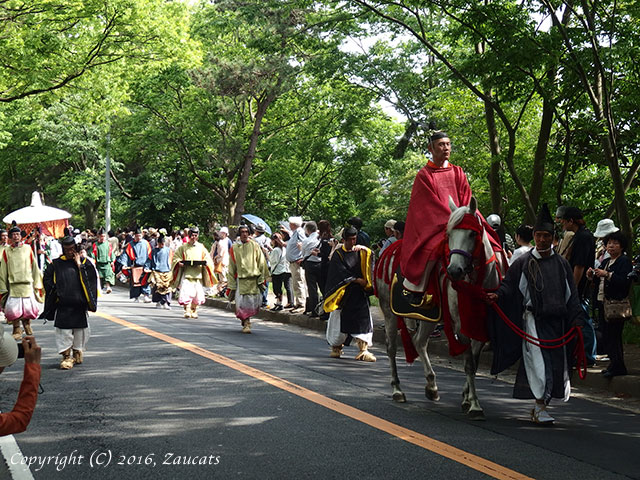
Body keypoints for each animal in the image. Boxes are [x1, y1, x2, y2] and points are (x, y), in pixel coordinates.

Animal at [376, 197, 504, 418]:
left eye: (472, 233)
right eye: (449, 234)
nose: (454, 270)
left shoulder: (481, 326)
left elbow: (474, 361)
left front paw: (466, 398)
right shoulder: (461, 325)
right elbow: (469, 363)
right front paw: (474, 404)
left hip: (430, 318)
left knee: (419, 342)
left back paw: (431, 386)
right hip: (389, 312)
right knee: (391, 348)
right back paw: (397, 390)